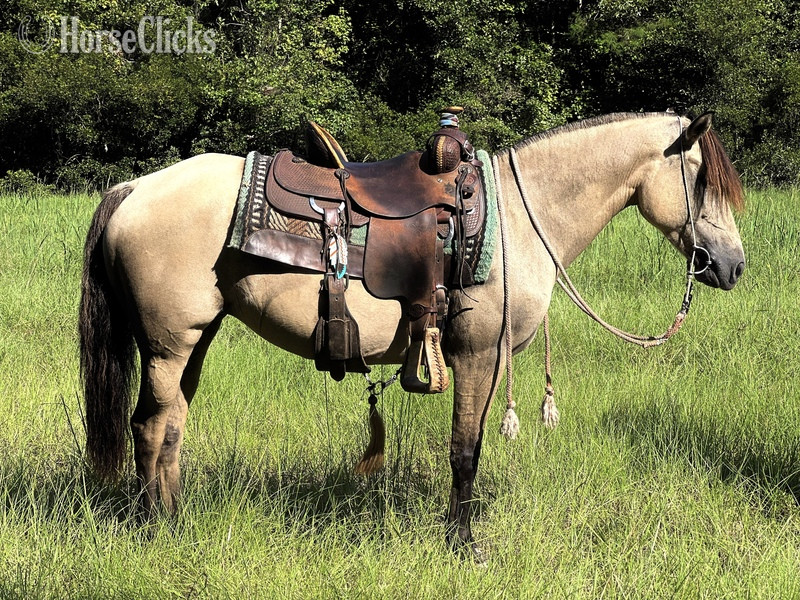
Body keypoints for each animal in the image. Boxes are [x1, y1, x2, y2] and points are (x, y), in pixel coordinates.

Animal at [79, 111, 745, 560]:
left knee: (171, 428)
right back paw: (155, 531)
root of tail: (134, 188)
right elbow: (465, 451)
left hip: (194, 341)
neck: (517, 221)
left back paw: (175, 520)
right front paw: (464, 546)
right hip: (168, 344)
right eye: (702, 181)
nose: (733, 266)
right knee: (149, 428)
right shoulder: (476, 354)